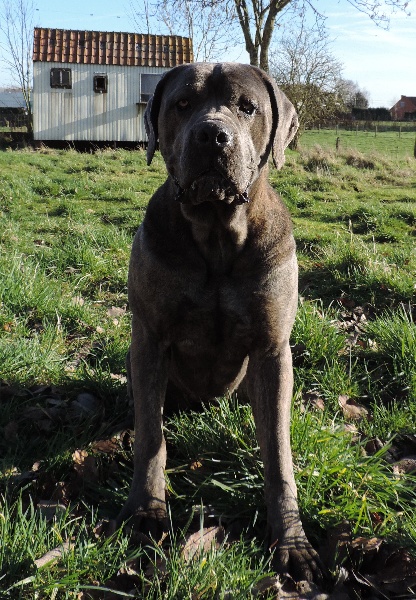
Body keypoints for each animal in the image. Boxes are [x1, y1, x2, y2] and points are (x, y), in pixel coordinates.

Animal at [117, 62, 322, 580]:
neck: (216, 233)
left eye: (247, 107)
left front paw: (291, 539)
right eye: (182, 104)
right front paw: (146, 509)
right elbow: (151, 437)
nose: (212, 135)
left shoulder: (272, 351)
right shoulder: (149, 340)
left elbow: (279, 453)